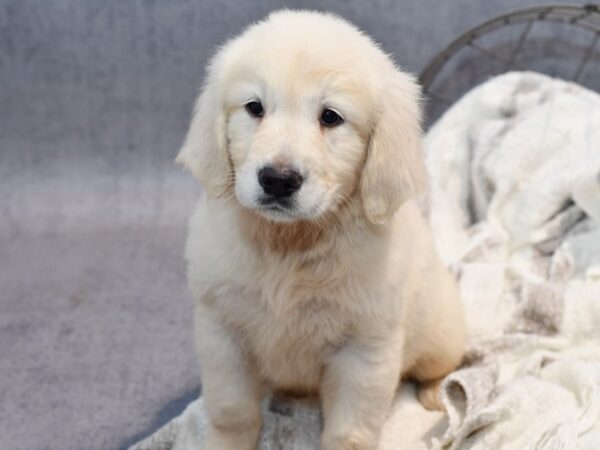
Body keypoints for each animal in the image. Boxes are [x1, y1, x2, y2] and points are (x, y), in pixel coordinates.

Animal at [176, 9, 466, 450]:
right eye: (254, 107)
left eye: (331, 116)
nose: (278, 180)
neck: (289, 245)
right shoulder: (221, 332)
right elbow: (231, 412)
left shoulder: (364, 352)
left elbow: (350, 432)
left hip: (441, 332)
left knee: (442, 365)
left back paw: (437, 395)